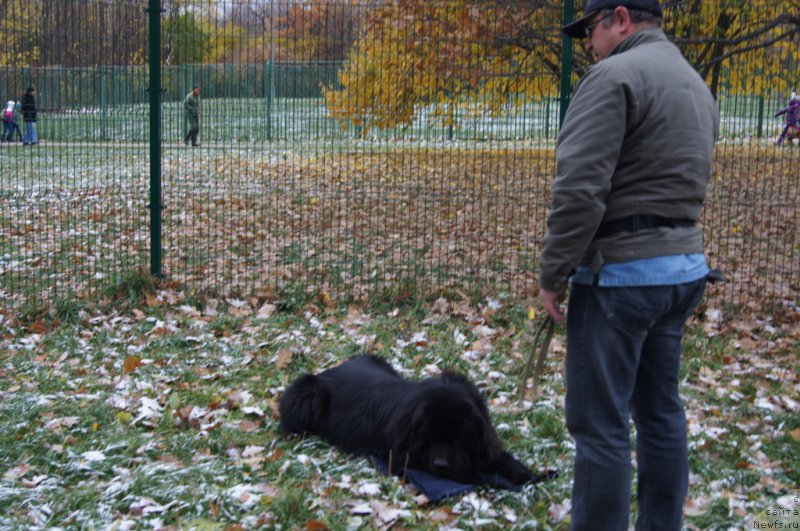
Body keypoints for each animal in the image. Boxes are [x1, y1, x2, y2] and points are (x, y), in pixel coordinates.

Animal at [280, 356, 536, 488]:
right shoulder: (405, 456)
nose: (441, 464)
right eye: (429, 437)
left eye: (459, 438)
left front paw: (520, 470)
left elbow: (494, 452)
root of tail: (326, 373)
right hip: (305, 394)